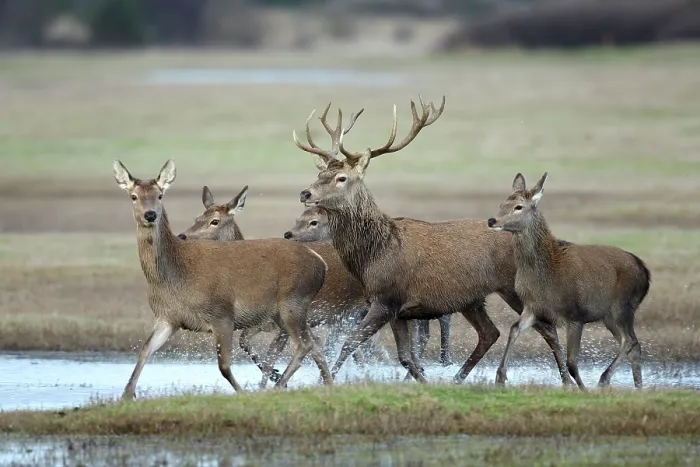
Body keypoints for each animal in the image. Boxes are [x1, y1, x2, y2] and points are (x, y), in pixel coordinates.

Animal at [112, 159, 332, 399]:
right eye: (133, 196)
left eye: (160, 194)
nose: (150, 214)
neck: (175, 277)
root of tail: (320, 262)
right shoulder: (168, 318)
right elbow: (144, 350)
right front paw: (127, 395)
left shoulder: (222, 314)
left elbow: (224, 366)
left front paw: (243, 393)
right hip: (283, 313)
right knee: (315, 345)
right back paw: (328, 384)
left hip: (293, 302)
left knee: (304, 345)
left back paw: (278, 385)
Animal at [178, 184, 374, 387]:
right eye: (197, 218)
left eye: (215, 221)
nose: (183, 235)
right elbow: (247, 343)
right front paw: (276, 377)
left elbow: (274, 353)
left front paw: (275, 380)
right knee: (357, 347)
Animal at [487, 172, 650, 389]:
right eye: (502, 203)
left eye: (518, 206)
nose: (492, 220)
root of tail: (645, 271)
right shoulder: (533, 307)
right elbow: (514, 329)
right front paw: (500, 376)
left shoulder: (576, 314)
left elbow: (571, 362)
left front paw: (581, 389)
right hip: (609, 316)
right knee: (634, 345)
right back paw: (638, 387)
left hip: (624, 305)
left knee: (629, 342)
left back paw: (604, 380)